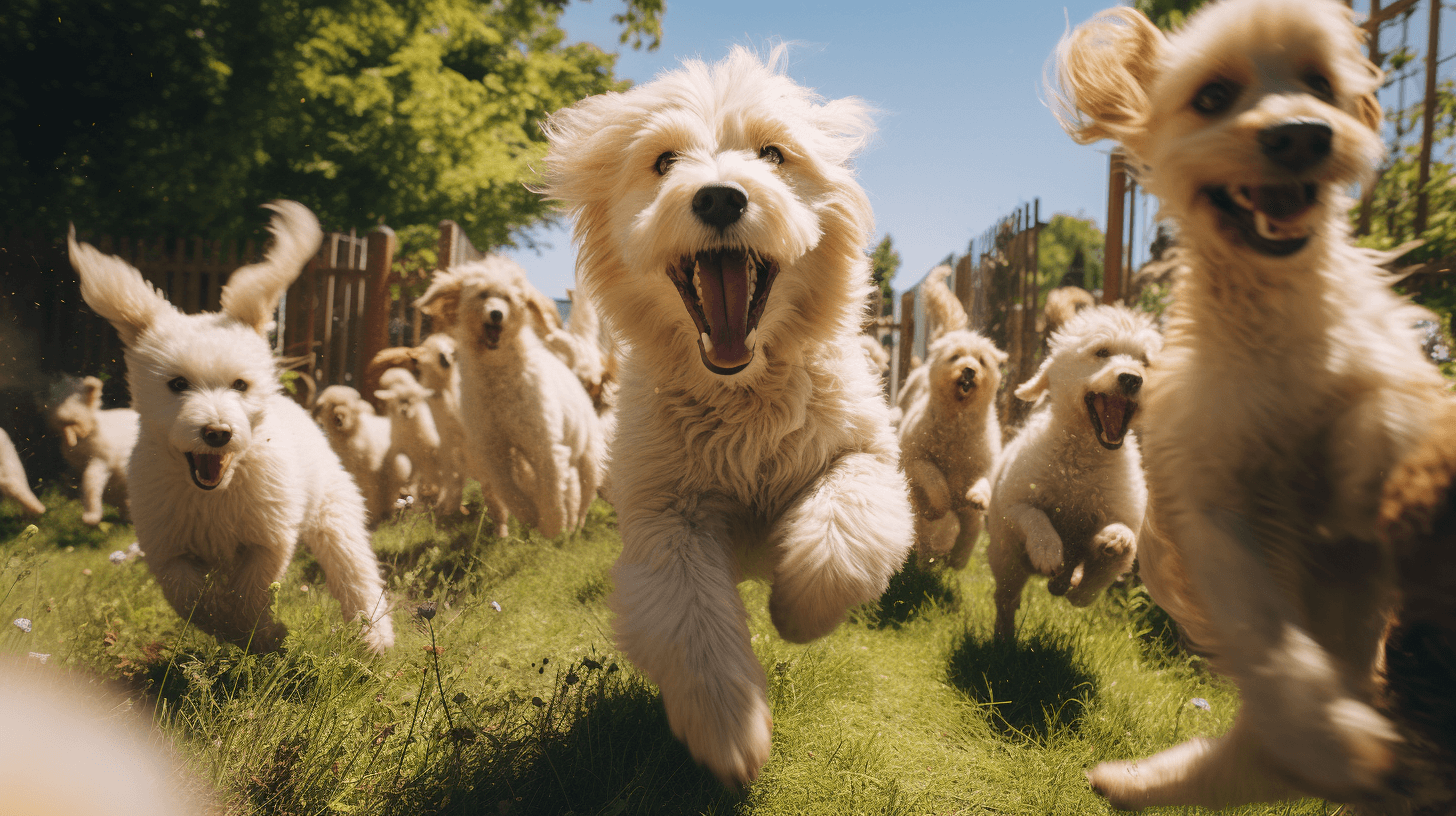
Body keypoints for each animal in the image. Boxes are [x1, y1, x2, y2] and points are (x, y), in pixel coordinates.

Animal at [49, 375, 138, 521]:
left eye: (74, 422)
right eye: (57, 401)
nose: (70, 443)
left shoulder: (101, 461)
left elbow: (90, 482)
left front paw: (90, 516)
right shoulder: (77, 465)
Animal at [69, 204, 393, 655]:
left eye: (240, 384)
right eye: (177, 384)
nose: (217, 432)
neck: (215, 492)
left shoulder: (267, 540)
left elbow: (250, 593)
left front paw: (263, 633)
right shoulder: (167, 549)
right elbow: (191, 598)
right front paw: (242, 631)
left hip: (333, 511)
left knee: (354, 570)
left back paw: (374, 638)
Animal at [541, 46, 914, 786]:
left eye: (772, 153)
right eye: (663, 160)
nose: (719, 196)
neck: (743, 399)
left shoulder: (865, 454)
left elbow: (841, 530)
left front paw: (798, 612)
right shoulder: (665, 518)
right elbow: (692, 623)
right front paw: (728, 731)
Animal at [990, 303, 1158, 641]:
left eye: (1145, 361)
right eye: (1102, 352)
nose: (1132, 379)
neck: (1083, 465)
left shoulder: (1124, 520)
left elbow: (1118, 551)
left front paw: (1108, 549)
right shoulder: (1013, 504)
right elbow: (1035, 516)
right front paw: (1047, 550)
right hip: (1007, 560)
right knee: (1006, 600)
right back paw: (1004, 637)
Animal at [1054, 0, 1450, 804]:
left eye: (1320, 85)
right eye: (1213, 96)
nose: (1301, 133)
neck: (1274, 325)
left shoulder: (1380, 384)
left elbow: (1378, 424)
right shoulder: (1210, 501)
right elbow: (1261, 629)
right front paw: (1329, 733)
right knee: (1256, 754)